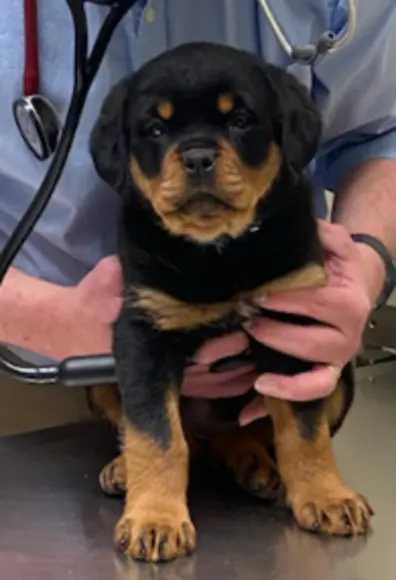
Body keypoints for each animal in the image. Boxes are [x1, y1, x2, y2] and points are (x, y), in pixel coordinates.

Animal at [88, 42, 372, 560]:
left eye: (240, 120)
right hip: (99, 377)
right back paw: (124, 470)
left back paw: (257, 467)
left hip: (339, 376)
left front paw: (327, 496)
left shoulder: (297, 326)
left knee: (246, 432)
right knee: (175, 438)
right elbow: (156, 434)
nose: (198, 156)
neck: (220, 251)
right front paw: (155, 518)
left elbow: (305, 431)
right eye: (155, 129)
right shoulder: (143, 334)